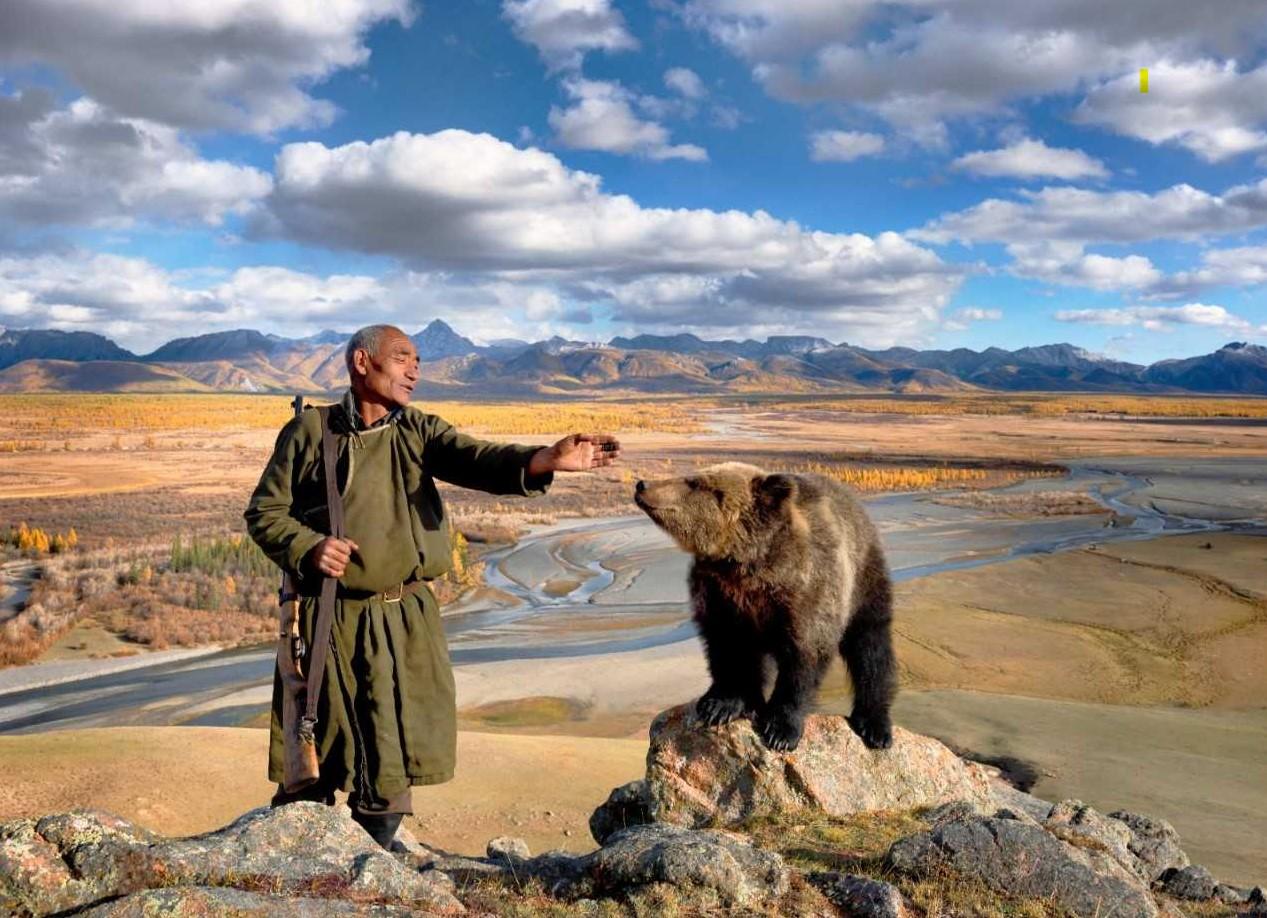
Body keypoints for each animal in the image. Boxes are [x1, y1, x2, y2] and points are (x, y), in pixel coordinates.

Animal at [630, 460, 891, 749]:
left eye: (693, 482)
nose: (642, 484)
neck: (747, 564)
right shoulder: (720, 594)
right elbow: (726, 648)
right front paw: (720, 704)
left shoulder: (807, 591)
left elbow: (804, 658)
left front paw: (781, 730)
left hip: (863, 579)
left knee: (870, 647)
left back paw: (874, 726)